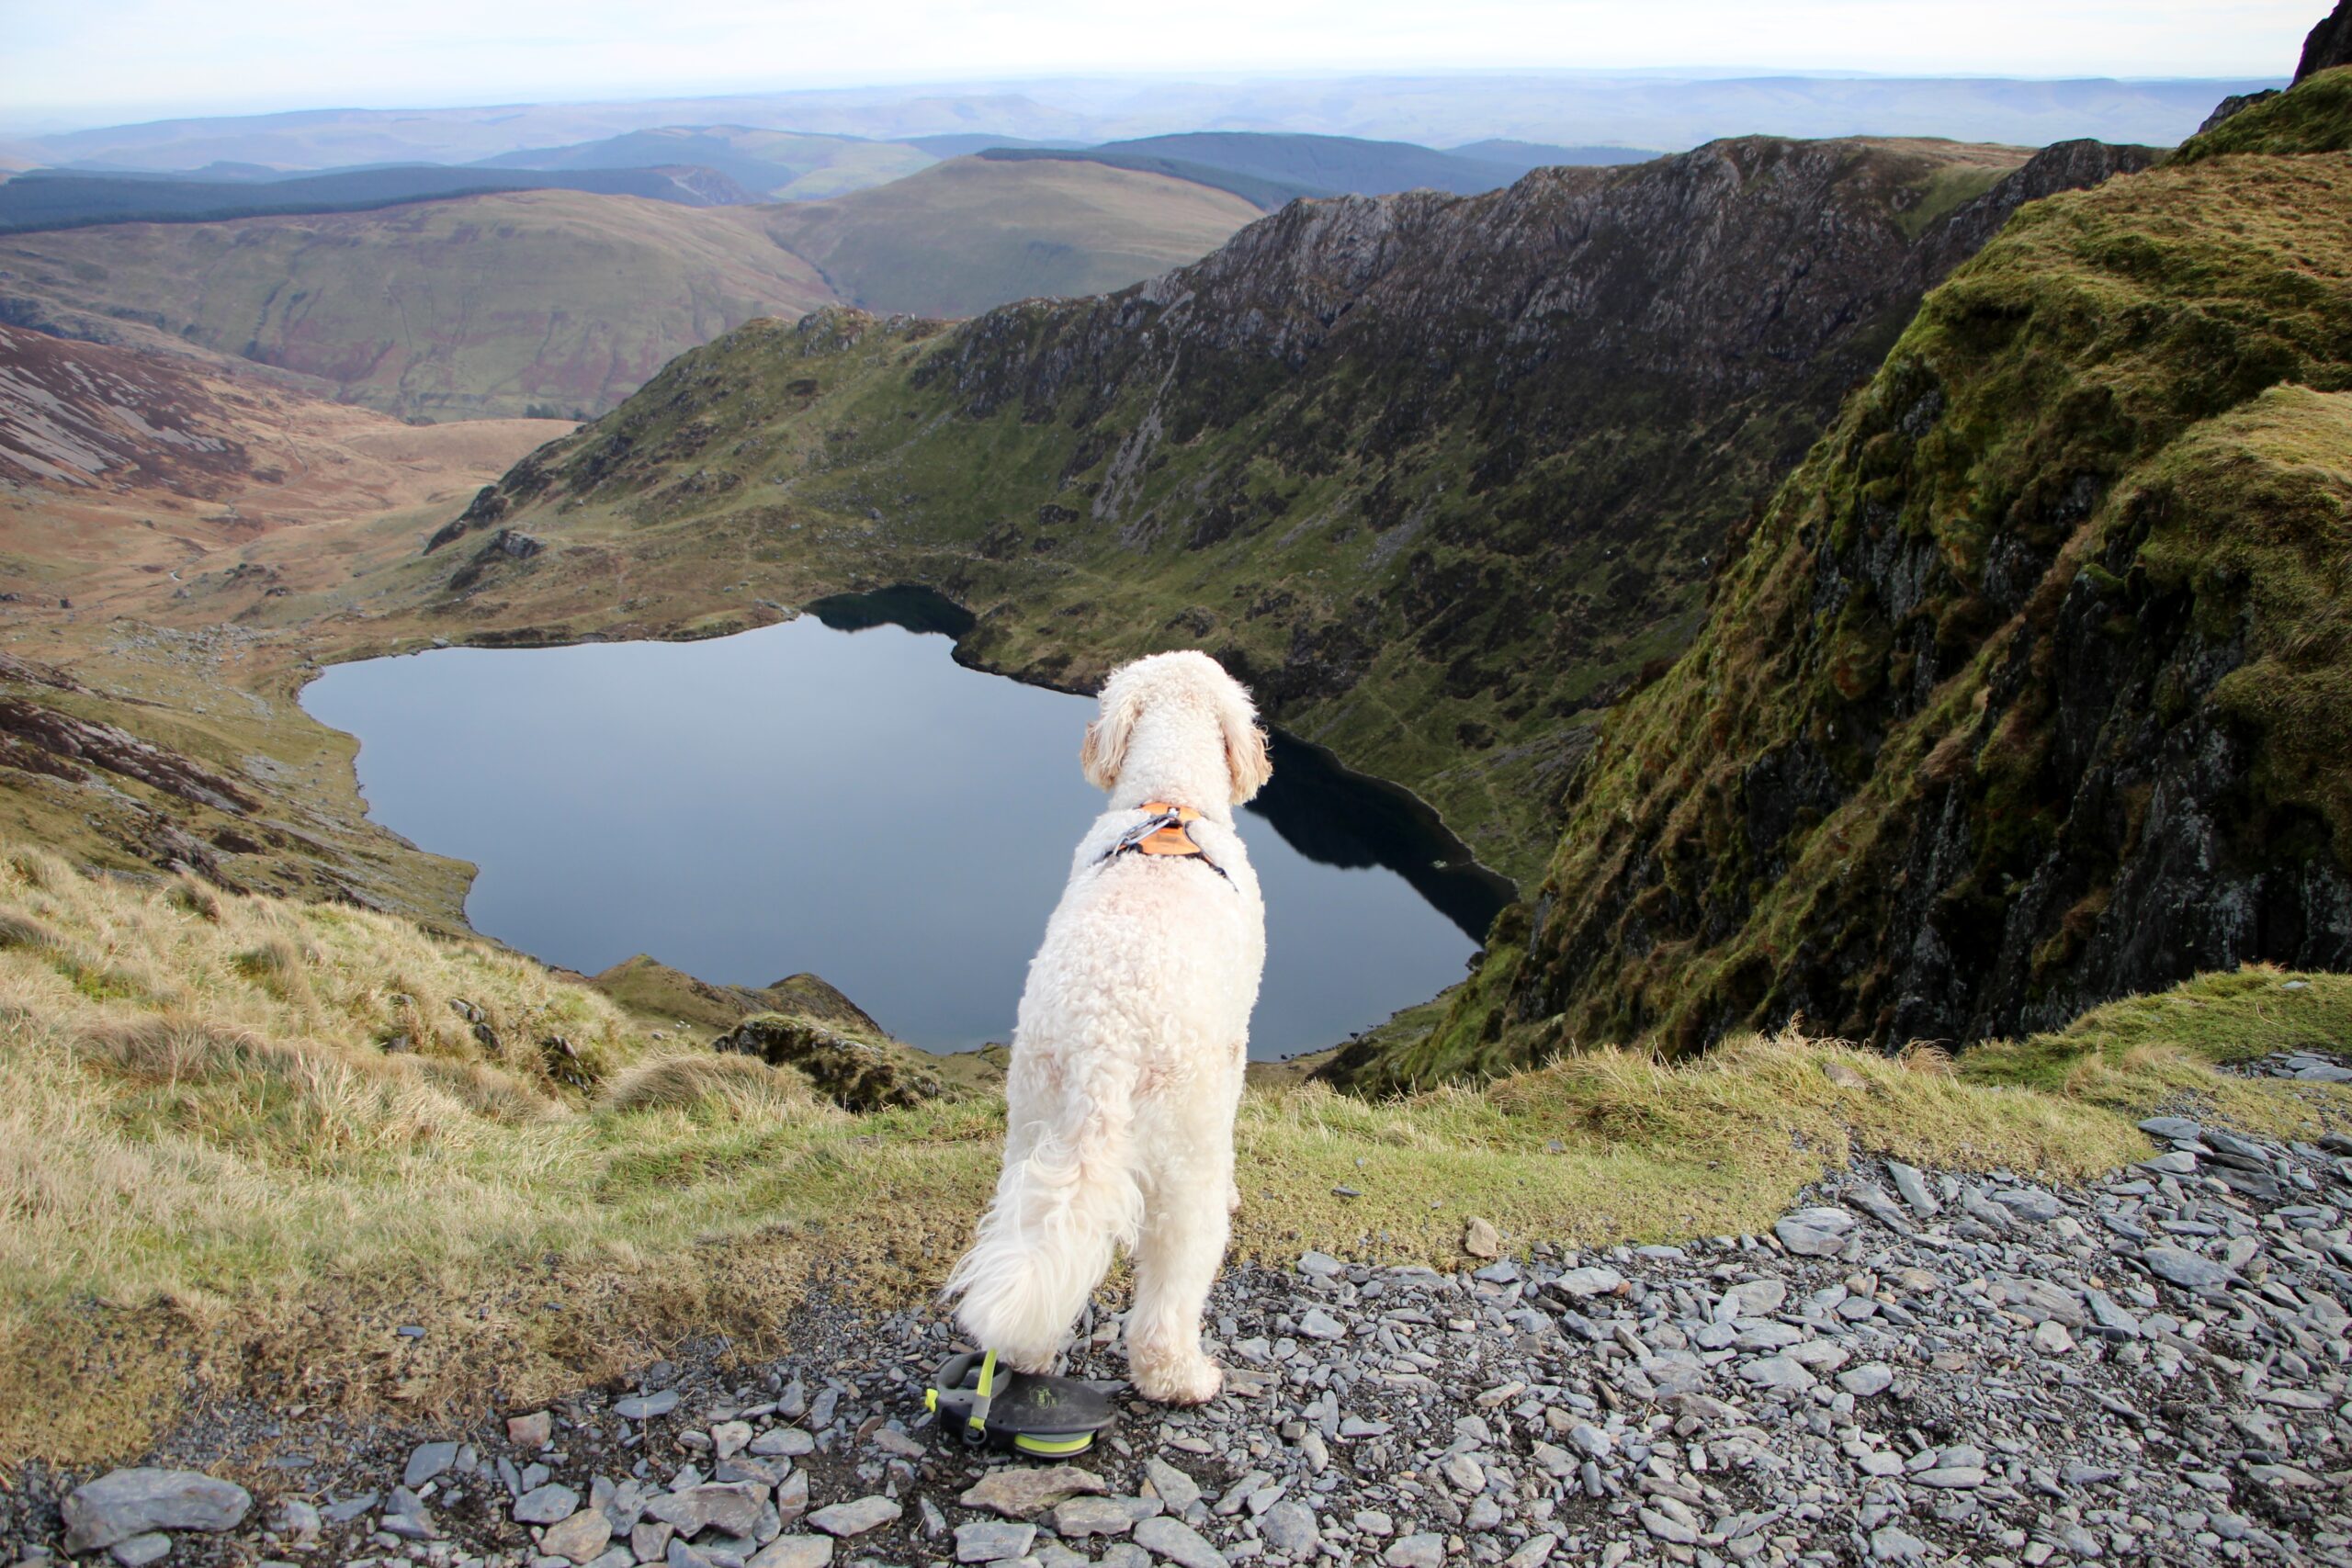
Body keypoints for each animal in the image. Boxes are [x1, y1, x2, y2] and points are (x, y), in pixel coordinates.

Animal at [945, 644, 1270, 1401]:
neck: (1170, 798)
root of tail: (1106, 1042)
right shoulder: (1233, 1046)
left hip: (1035, 1123)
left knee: (1035, 1237)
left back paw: (1027, 1350)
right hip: (1183, 1159)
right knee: (1170, 1287)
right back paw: (1180, 1376)